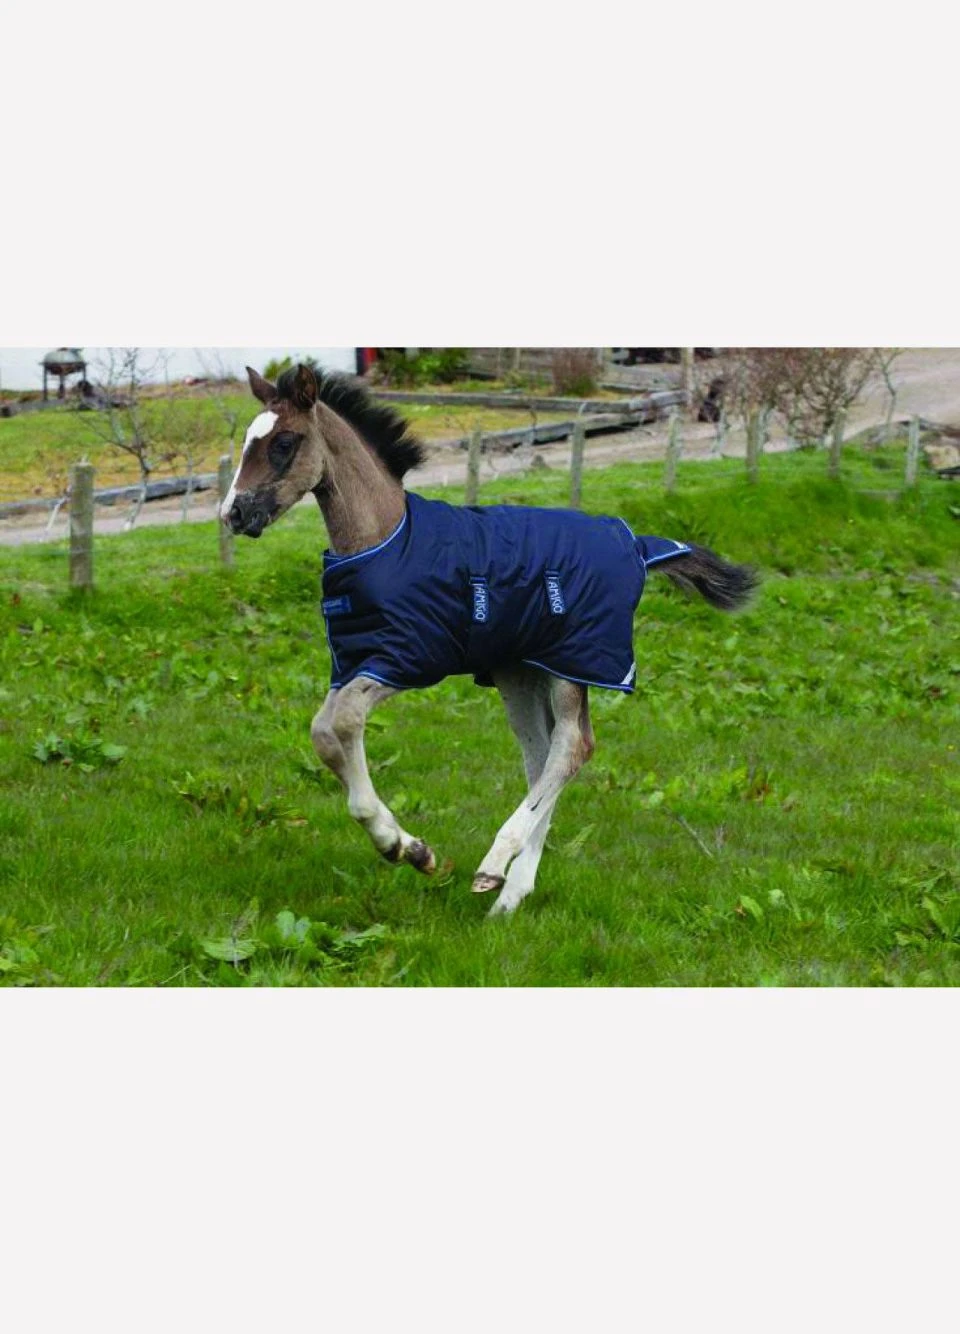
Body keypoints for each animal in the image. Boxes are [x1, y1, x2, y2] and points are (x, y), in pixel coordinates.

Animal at [221, 363, 757, 916]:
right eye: (246, 441)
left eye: (284, 443)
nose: (232, 514)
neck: (385, 540)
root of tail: (636, 544)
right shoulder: (353, 662)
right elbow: (324, 734)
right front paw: (410, 848)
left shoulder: (406, 657)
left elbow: (342, 723)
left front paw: (399, 845)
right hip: (520, 673)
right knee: (542, 755)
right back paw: (510, 892)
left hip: (573, 663)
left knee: (573, 746)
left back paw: (496, 862)